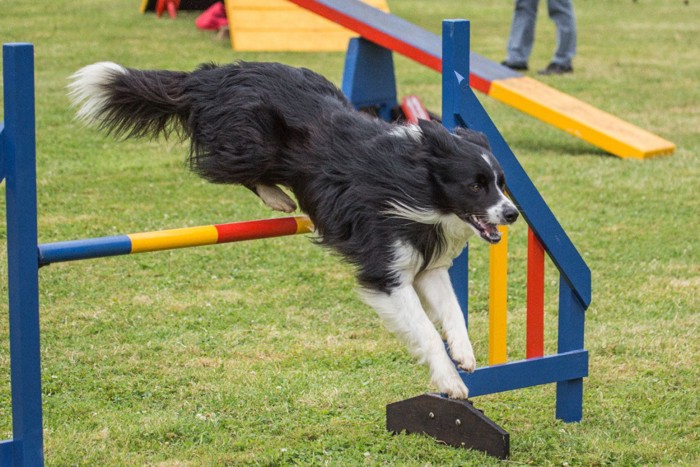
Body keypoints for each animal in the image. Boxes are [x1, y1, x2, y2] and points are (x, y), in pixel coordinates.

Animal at [68, 61, 516, 398]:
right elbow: (424, 328)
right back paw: (278, 198)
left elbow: (452, 310)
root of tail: (213, 75)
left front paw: (464, 354)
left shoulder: (426, 264)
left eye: (500, 181)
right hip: (252, 144)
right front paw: (451, 382)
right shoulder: (384, 272)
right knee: (232, 168)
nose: (512, 214)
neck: (416, 180)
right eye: (475, 185)